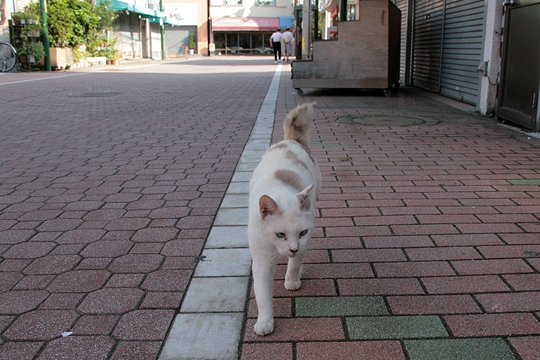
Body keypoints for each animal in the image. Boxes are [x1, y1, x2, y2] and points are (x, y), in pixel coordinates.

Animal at [249, 101, 320, 334]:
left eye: (302, 232)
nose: (293, 248)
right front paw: (264, 322)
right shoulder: (261, 259)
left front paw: (292, 280)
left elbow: (295, 264)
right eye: (280, 234)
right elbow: (262, 295)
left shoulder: (305, 240)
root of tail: (291, 140)